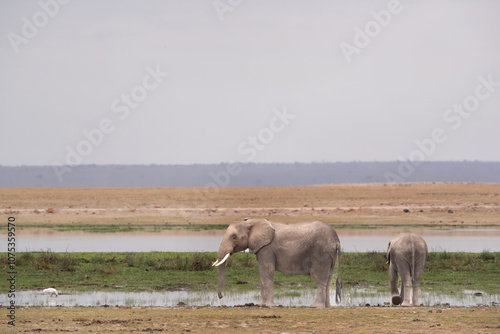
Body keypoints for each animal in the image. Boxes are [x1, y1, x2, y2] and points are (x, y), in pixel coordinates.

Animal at [213, 217, 342, 308]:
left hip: (321, 253)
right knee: (328, 278)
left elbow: (267, 272)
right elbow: (262, 274)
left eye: (234, 237)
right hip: (330, 255)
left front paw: (268, 306)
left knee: (320, 278)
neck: (252, 221)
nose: (221, 296)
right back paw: (327, 307)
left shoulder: (267, 248)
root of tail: (337, 240)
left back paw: (315, 306)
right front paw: (262, 305)